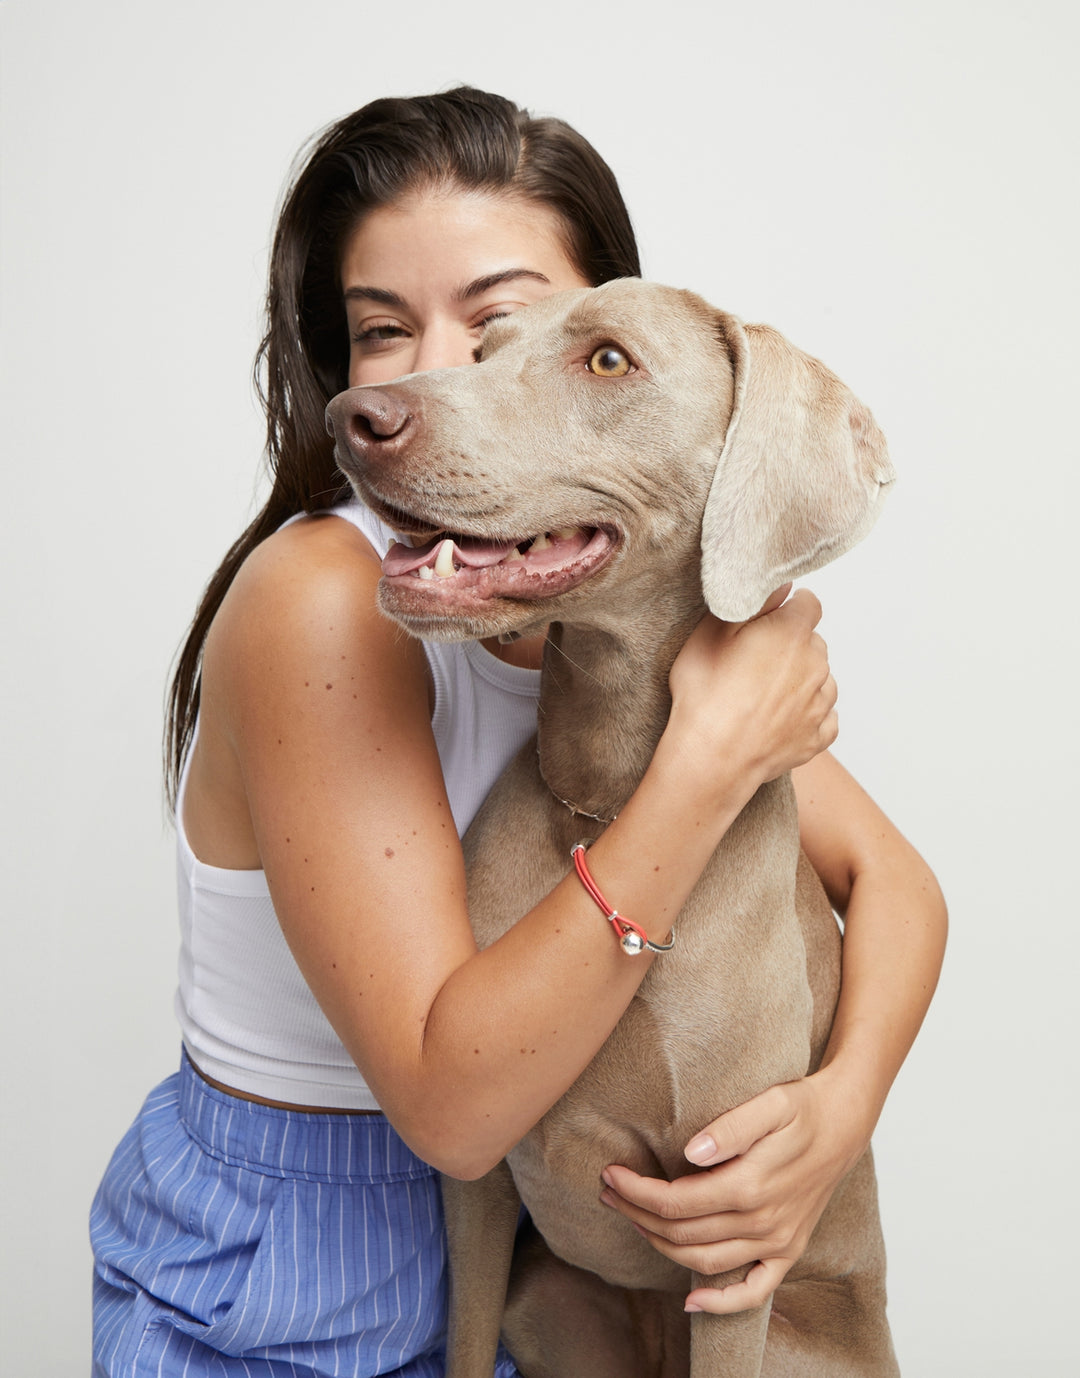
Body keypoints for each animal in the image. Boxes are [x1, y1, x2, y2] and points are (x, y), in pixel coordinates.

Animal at [329, 282, 903, 1378]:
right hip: (550, 1301)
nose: (354, 417)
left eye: (607, 361)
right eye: (487, 349)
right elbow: (463, 1333)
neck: (607, 807)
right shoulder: (478, 1188)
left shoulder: (735, 1228)